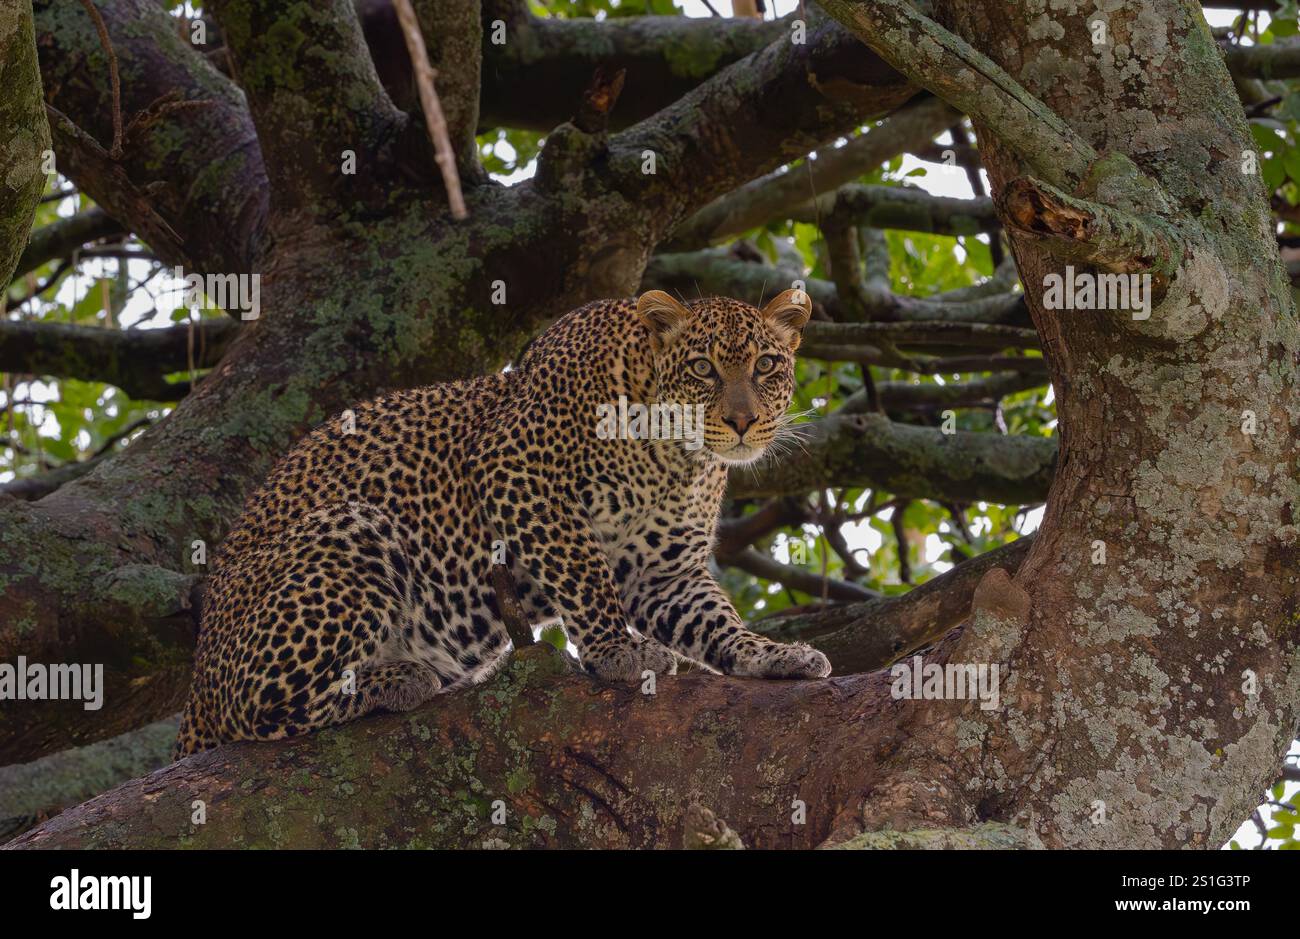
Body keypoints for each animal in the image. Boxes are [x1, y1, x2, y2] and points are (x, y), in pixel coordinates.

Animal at [174, 288, 831, 758]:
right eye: (702, 368)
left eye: (767, 365)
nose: (743, 421)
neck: (678, 456)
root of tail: (197, 681)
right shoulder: (517, 473)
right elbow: (584, 574)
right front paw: (618, 651)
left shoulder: (663, 570)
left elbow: (717, 622)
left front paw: (774, 655)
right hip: (351, 531)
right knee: (253, 706)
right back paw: (398, 679)